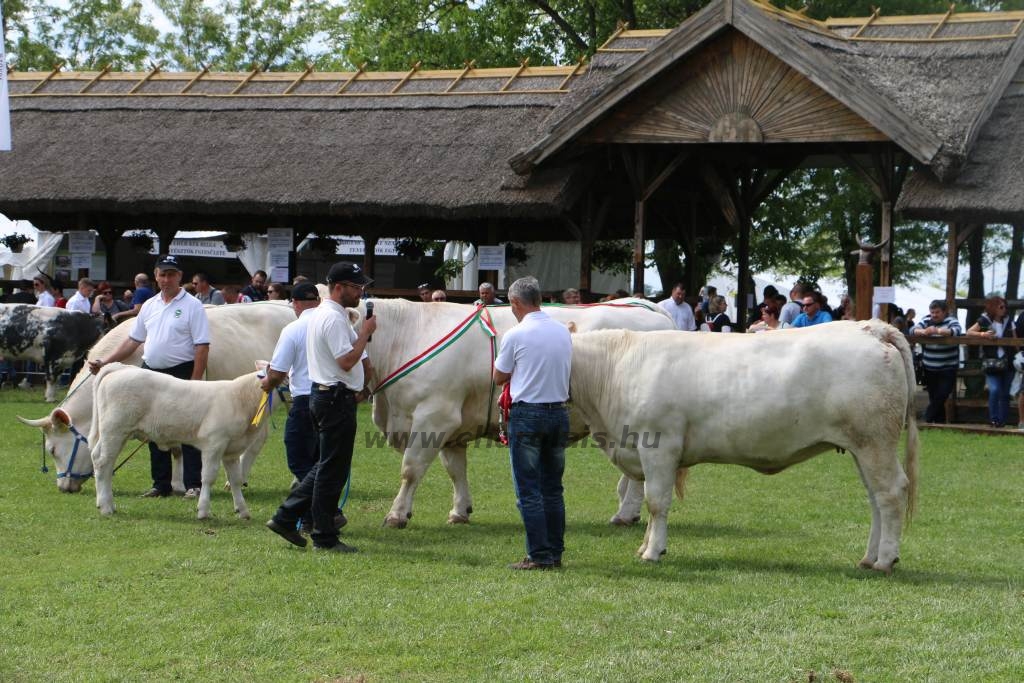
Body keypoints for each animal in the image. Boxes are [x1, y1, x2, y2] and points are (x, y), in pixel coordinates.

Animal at [17, 303, 296, 491]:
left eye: (52, 450)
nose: (63, 487)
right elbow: (172, 447)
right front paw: (171, 484)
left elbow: (182, 447)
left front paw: (185, 486)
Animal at [90, 362, 270, 518]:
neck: (240, 398)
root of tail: (121, 369)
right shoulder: (214, 443)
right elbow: (208, 477)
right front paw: (203, 511)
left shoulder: (231, 450)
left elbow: (235, 480)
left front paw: (243, 511)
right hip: (114, 430)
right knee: (103, 462)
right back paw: (106, 507)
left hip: (116, 434)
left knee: (101, 460)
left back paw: (107, 504)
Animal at [352, 299, 679, 528]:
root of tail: (649, 307)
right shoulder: (451, 427)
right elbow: (456, 470)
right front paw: (460, 510)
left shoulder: (434, 415)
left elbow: (410, 469)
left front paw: (397, 514)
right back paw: (627, 512)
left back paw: (625, 514)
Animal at [569, 321, 921, 573]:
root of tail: (871, 327)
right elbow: (649, 503)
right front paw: (645, 546)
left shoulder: (659, 447)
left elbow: (656, 502)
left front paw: (653, 552)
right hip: (862, 449)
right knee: (875, 499)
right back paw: (869, 558)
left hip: (874, 441)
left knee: (891, 493)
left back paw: (885, 560)